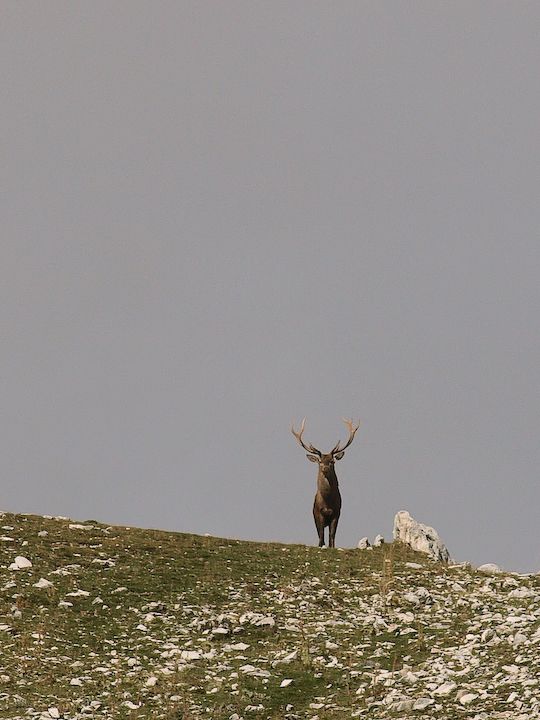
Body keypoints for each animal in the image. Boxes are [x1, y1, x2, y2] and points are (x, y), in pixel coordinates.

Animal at [292, 416, 358, 544]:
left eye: (332, 461)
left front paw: (331, 545)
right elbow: (321, 536)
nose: (325, 468)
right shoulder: (318, 513)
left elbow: (332, 536)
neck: (327, 501)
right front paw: (320, 545)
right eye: (320, 461)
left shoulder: (337, 512)